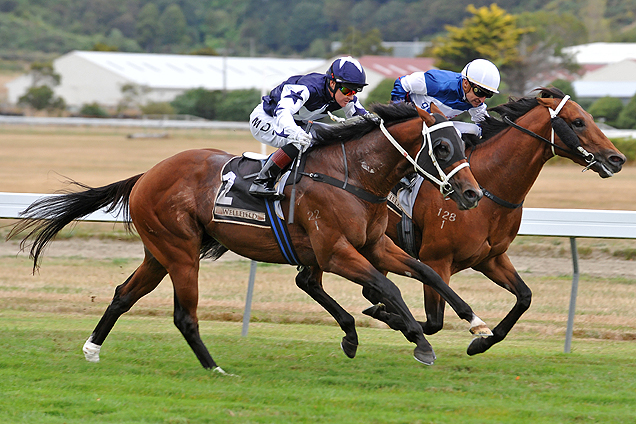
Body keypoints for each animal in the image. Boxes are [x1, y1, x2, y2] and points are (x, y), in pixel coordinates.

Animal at [8, 102, 486, 372]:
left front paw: (476, 324)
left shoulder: (374, 245)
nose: (472, 194)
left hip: (160, 252)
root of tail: (146, 175)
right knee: (183, 315)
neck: (354, 177)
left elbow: (427, 272)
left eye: (464, 146)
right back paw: (215, 369)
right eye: (443, 148)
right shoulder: (335, 251)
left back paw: (92, 349)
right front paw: (420, 342)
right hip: (181, 252)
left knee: (124, 294)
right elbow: (388, 288)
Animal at [358, 86, 628, 354]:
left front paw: (481, 343)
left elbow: (524, 297)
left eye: (591, 118)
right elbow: (435, 320)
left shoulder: (490, 258)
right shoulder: (437, 259)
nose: (618, 159)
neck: (488, 188)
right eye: (578, 122)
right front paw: (392, 319)